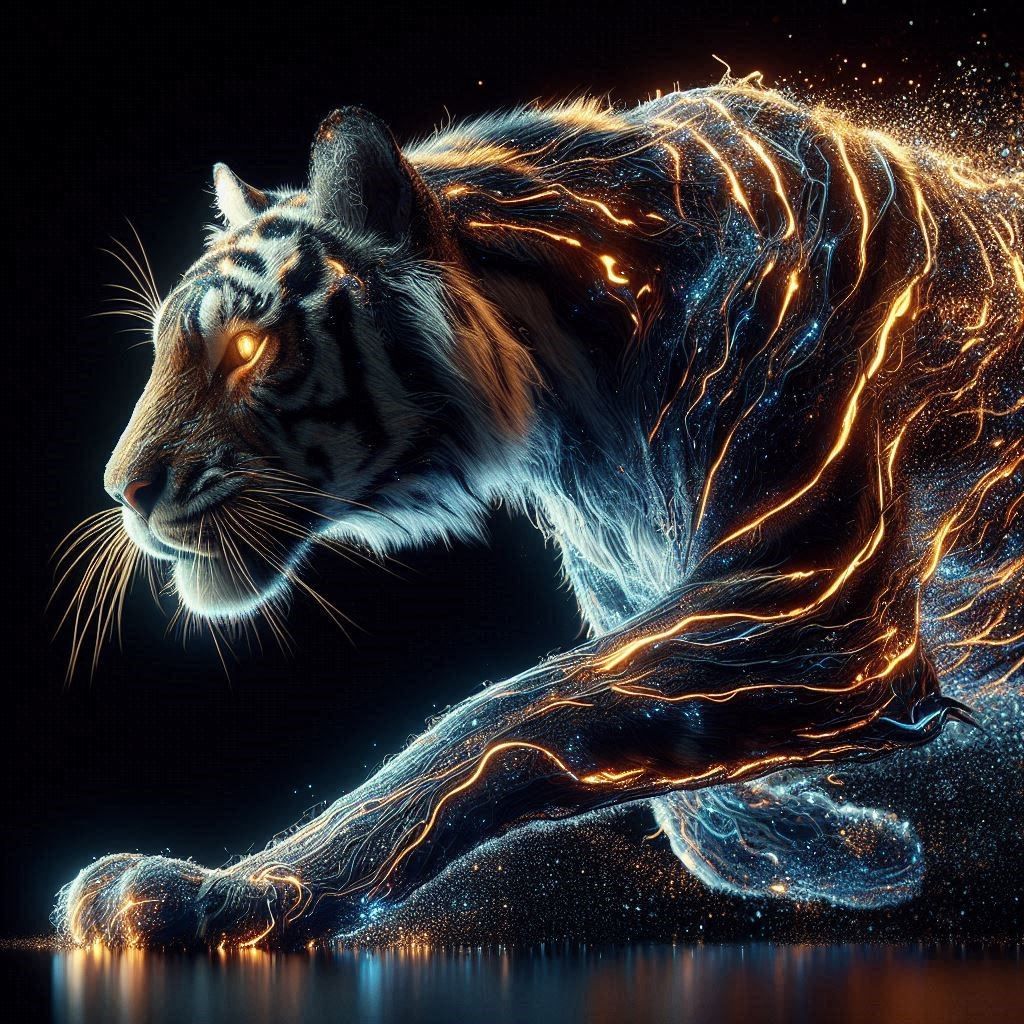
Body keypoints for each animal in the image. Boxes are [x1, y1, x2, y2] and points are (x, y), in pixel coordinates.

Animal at [55, 80, 1022, 949]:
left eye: (250, 348)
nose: (120, 489)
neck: (582, 384)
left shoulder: (811, 598)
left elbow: (501, 721)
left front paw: (215, 893)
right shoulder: (657, 602)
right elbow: (669, 773)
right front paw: (850, 854)